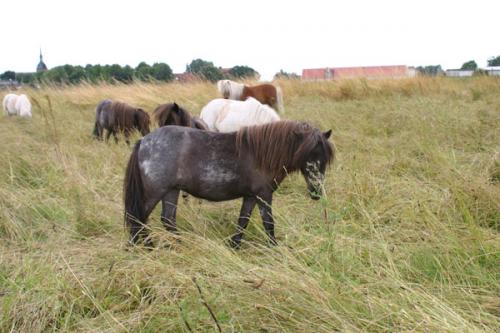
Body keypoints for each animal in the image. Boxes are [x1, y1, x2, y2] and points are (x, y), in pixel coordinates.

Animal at [123, 120, 334, 248]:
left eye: (324, 158)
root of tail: (143, 141)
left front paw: (235, 245)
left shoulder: (251, 196)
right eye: (307, 154)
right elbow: (269, 223)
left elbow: (243, 221)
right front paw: (275, 248)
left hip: (171, 191)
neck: (262, 154)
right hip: (154, 192)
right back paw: (144, 247)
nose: (316, 192)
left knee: (167, 220)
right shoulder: (263, 194)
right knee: (138, 219)